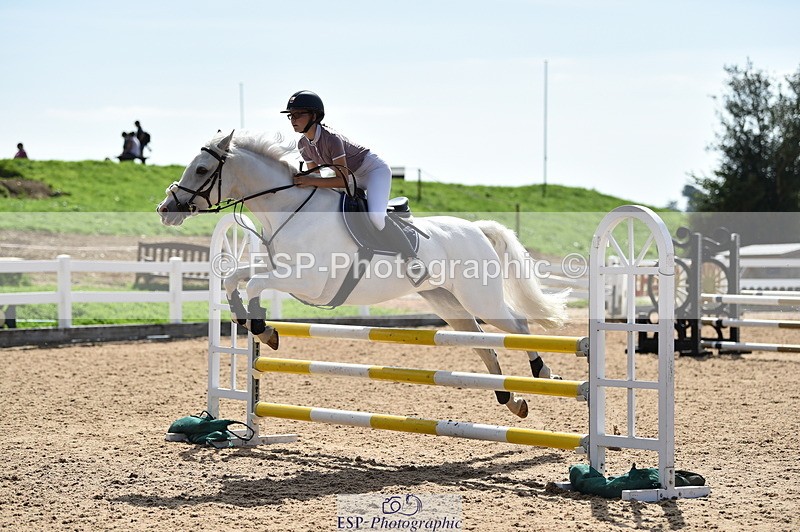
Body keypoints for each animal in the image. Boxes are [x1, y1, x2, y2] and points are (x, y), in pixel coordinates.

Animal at [157, 130, 569, 419]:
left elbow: (255, 284)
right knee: (484, 344)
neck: (292, 208)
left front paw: (264, 330)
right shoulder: (281, 269)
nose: (166, 208)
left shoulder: (309, 282)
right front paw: (250, 321)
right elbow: (234, 278)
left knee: (518, 325)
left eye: (201, 169)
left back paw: (544, 372)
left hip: (481, 297)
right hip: (447, 302)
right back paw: (511, 399)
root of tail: (476, 229)